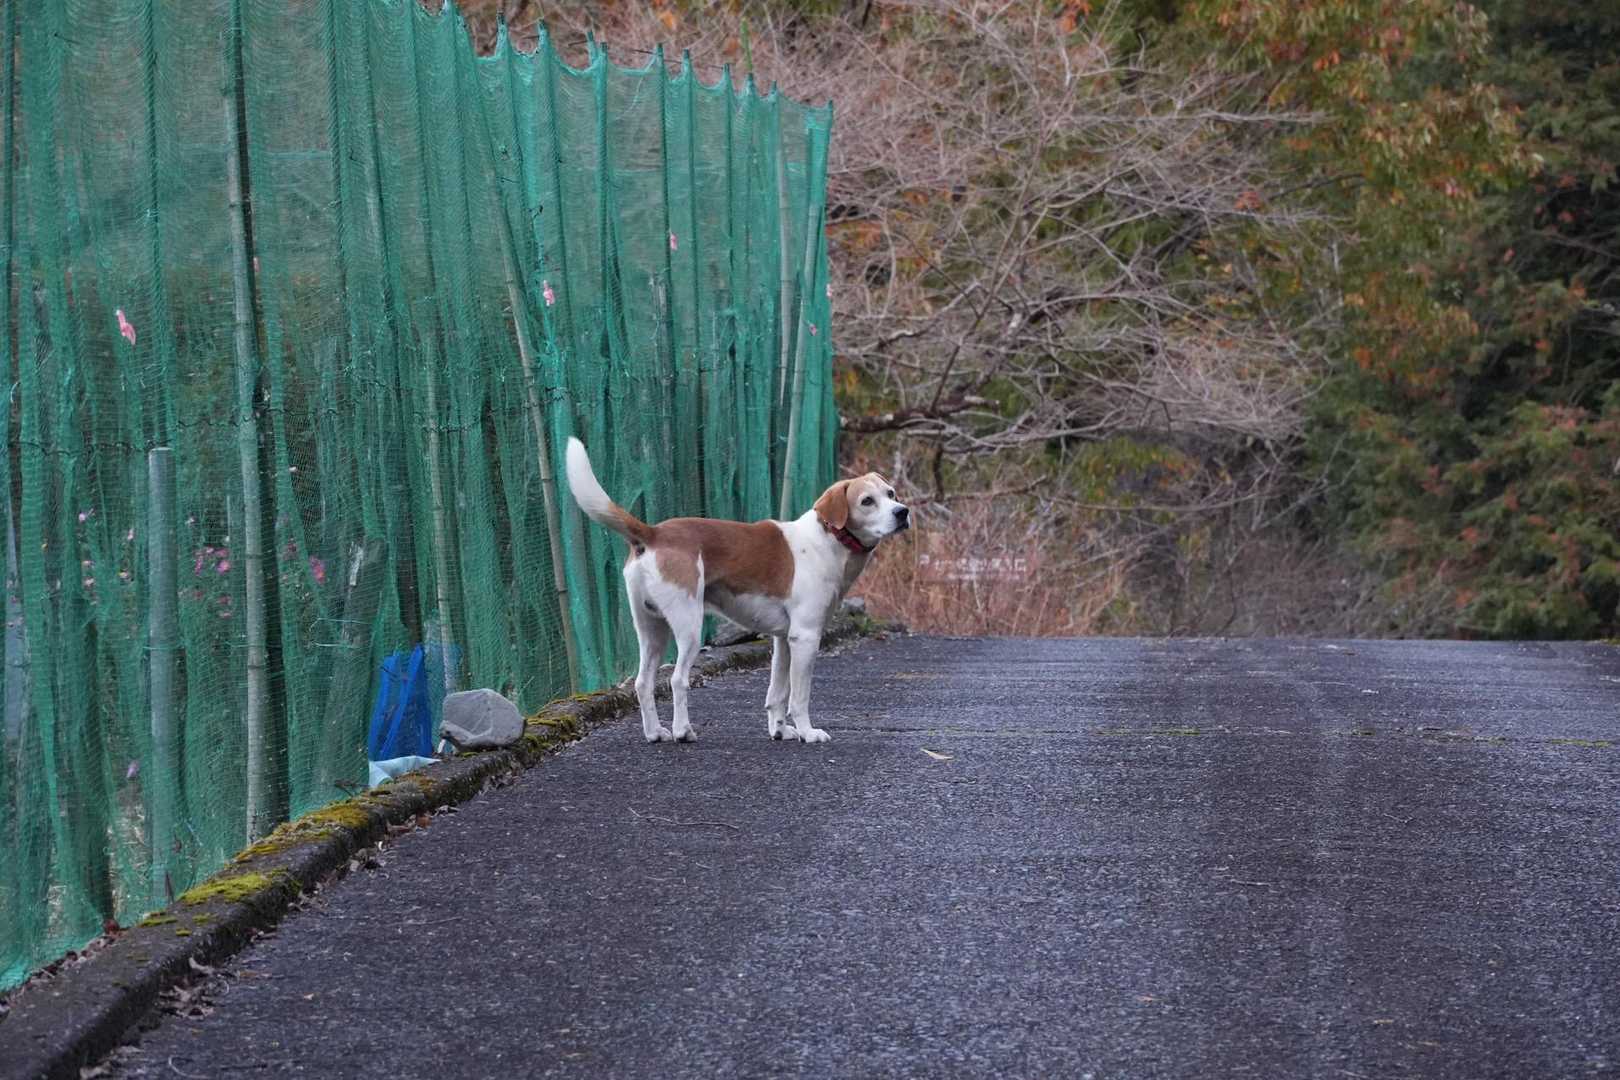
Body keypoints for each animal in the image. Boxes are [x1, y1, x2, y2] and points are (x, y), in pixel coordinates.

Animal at [565, 438, 909, 744]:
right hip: (689, 627)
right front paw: (808, 732)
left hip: (652, 630)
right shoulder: (806, 637)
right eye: (867, 501)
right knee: (677, 679)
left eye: (891, 493)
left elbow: (777, 693)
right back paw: (682, 731)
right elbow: (799, 697)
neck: (829, 539)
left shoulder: (783, 640)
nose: (903, 512)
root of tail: (653, 533)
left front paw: (780, 731)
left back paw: (654, 733)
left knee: (642, 683)